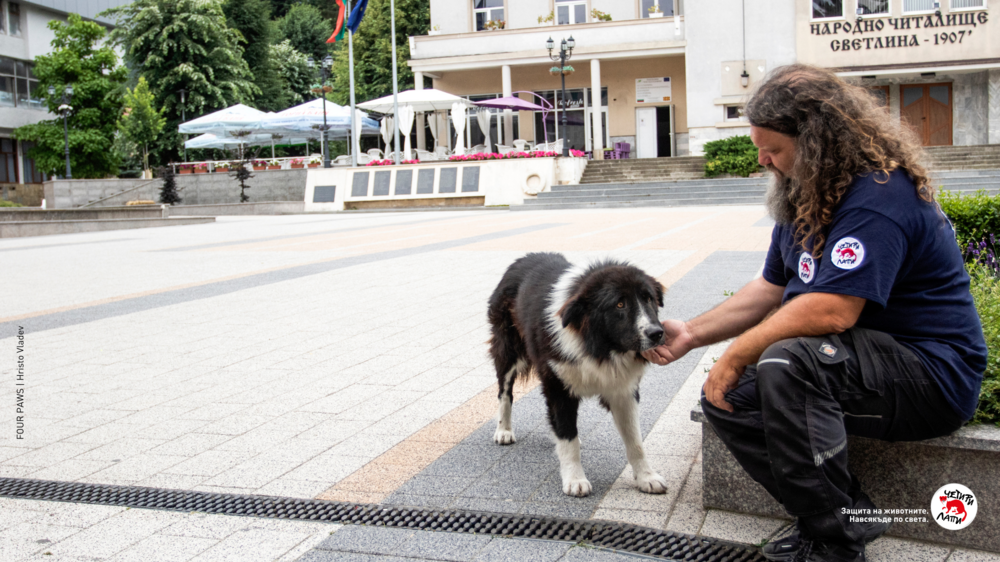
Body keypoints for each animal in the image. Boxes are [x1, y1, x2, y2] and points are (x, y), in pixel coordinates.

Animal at [488, 253, 668, 494]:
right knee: (505, 393)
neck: (598, 346)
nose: (656, 333)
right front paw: (575, 479)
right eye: (620, 304)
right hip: (509, 350)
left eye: (648, 299)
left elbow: (635, 440)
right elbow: (567, 437)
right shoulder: (559, 388)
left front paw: (646, 477)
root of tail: (522, 259)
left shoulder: (623, 391)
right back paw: (504, 430)